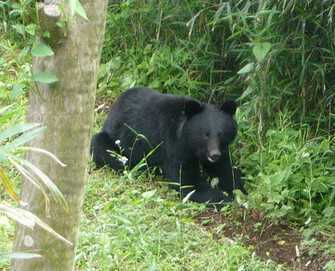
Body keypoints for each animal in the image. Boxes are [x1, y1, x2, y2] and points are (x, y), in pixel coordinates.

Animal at [90, 87, 245, 204]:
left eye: (221, 134)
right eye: (205, 134)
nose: (214, 155)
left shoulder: (222, 149)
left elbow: (226, 171)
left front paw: (240, 192)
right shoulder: (175, 146)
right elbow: (187, 182)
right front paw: (227, 199)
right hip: (115, 141)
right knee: (103, 149)